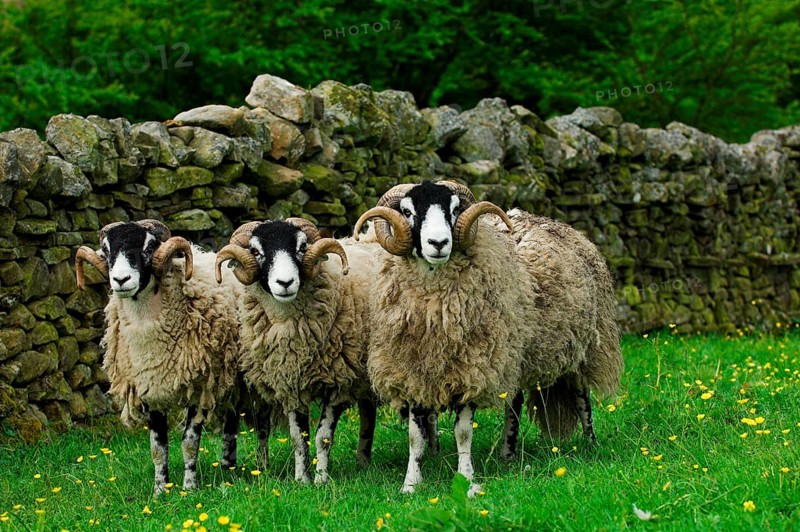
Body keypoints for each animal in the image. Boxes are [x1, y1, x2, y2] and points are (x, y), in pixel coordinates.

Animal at [74, 220, 242, 496]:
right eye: (106, 249)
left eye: (150, 246)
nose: (121, 280)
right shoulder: (149, 389)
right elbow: (157, 448)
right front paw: (160, 491)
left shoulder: (199, 387)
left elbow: (189, 442)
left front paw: (189, 488)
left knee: (232, 421)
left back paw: (229, 466)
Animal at [214, 218, 380, 484]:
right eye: (256, 252)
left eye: (302, 247)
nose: (285, 283)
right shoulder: (291, 383)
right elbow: (298, 438)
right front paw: (302, 479)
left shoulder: (338, 383)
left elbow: (323, 436)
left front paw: (321, 479)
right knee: (368, 414)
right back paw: (363, 463)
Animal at [353, 180, 622, 496]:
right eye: (407, 212)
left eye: (455, 209)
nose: (438, 243)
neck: (434, 313)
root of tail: (564, 226)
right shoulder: (415, 374)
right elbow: (415, 437)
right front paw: (410, 485)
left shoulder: (473, 369)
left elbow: (463, 432)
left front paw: (467, 480)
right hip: (514, 354)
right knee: (514, 403)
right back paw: (507, 453)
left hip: (582, 348)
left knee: (582, 399)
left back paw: (591, 444)